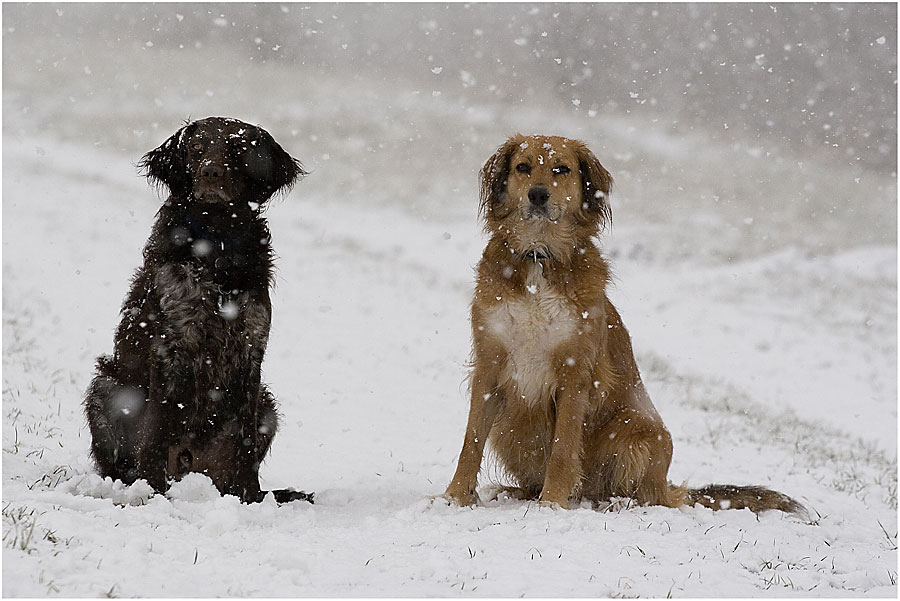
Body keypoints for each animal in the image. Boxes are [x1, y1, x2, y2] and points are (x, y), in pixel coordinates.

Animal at [83, 117, 312, 502]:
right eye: (196, 148)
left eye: (239, 148)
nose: (211, 171)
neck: (216, 245)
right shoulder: (171, 345)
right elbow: (158, 428)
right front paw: (153, 491)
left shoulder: (251, 348)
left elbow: (245, 442)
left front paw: (249, 499)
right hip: (106, 387)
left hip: (267, 404)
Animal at [442, 135, 800, 516]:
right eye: (523, 167)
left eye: (561, 169)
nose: (538, 194)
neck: (539, 258)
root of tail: (668, 487)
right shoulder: (489, 365)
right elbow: (471, 441)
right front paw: (454, 496)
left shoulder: (574, 374)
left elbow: (563, 448)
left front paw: (551, 504)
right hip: (509, 427)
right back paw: (517, 493)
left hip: (639, 433)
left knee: (641, 495)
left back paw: (613, 503)